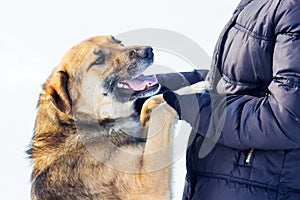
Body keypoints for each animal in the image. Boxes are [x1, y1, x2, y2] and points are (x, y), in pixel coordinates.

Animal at [28, 35, 207, 199]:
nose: (148, 51)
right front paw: (195, 91)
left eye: (118, 42)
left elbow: (152, 102)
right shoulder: (147, 184)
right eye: (99, 59)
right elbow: (160, 111)